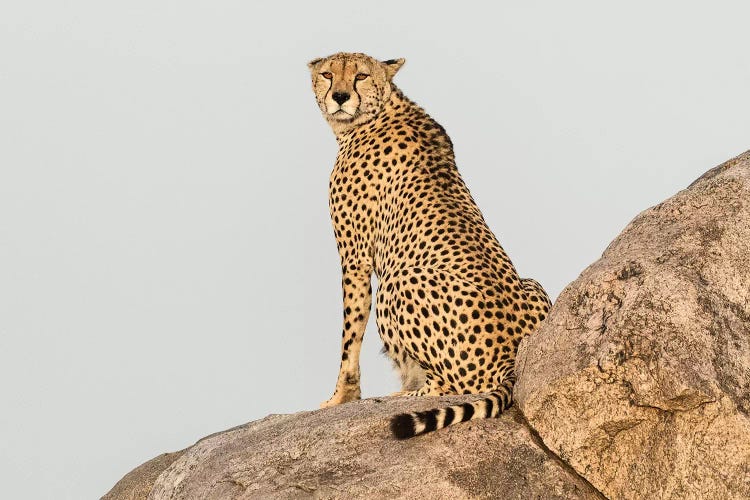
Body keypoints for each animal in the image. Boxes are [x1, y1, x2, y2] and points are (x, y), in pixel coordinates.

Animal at [310, 52, 552, 440]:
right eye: (327, 74)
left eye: (361, 75)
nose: (341, 97)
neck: (380, 110)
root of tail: (511, 360)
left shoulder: (355, 258)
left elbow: (350, 334)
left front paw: (340, 398)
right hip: (532, 281)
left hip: (397, 283)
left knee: (451, 385)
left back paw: (404, 395)